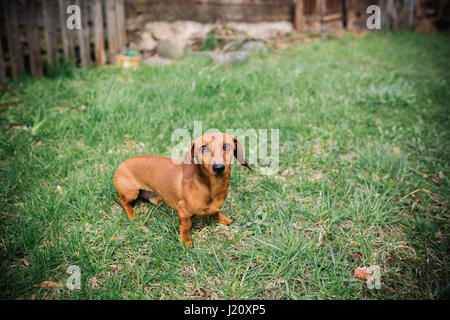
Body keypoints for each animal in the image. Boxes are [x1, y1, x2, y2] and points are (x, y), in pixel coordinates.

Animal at [114, 132, 251, 248]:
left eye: (226, 146)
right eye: (203, 148)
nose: (218, 168)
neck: (211, 187)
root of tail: (121, 165)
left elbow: (215, 212)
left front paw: (221, 218)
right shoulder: (183, 211)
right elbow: (186, 226)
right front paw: (185, 241)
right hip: (131, 193)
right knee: (122, 201)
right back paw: (132, 214)